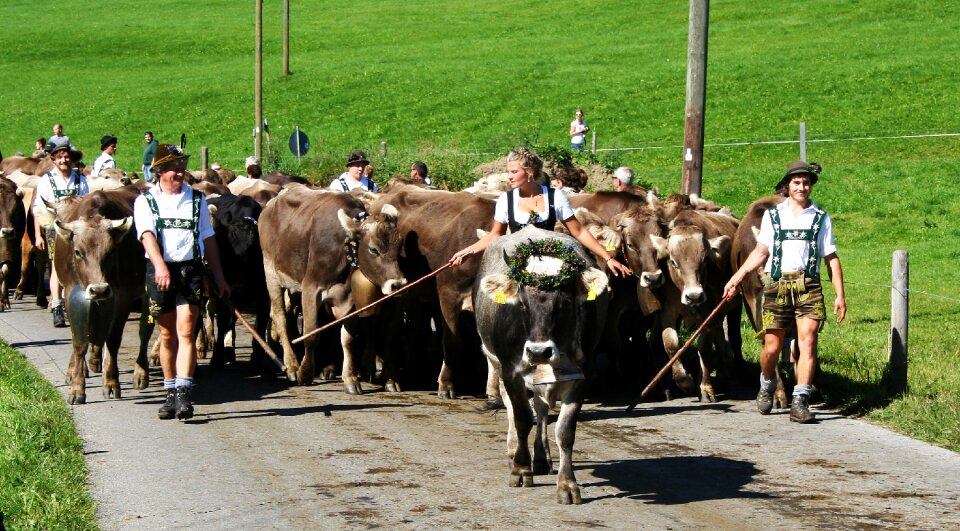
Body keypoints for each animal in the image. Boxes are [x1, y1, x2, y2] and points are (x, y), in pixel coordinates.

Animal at [53, 187, 148, 404]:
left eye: (111, 251)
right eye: (78, 252)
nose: (99, 290)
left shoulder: (123, 297)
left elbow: (112, 341)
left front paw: (111, 383)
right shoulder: (71, 295)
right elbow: (79, 342)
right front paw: (77, 387)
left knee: (144, 332)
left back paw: (140, 374)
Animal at [258, 189, 404, 388]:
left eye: (399, 245)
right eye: (374, 249)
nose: (398, 284)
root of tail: (273, 202)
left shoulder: (350, 298)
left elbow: (348, 339)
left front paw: (350, 378)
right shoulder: (311, 288)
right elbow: (311, 334)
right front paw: (305, 373)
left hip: (292, 286)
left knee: (277, 314)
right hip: (271, 274)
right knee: (280, 316)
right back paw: (291, 365)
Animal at [472, 228, 608, 502]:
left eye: (565, 303)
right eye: (523, 304)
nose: (538, 351)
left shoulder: (581, 376)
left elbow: (565, 431)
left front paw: (567, 485)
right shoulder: (511, 371)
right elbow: (522, 419)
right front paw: (521, 470)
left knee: (542, 408)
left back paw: (542, 458)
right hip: (497, 363)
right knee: (512, 408)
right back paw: (514, 450)